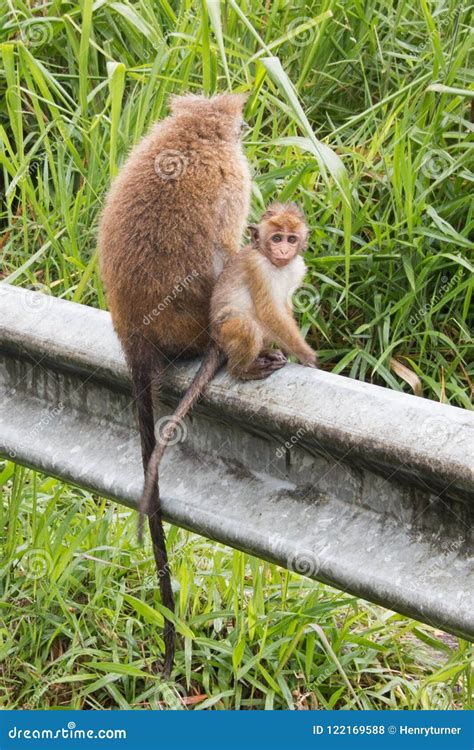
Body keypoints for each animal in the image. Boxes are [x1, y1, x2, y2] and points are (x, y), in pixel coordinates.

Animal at [142, 203, 318, 524]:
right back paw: (243, 369)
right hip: (227, 331)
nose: (284, 250)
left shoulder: (296, 267)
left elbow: (283, 307)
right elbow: (270, 311)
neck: (275, 264)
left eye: (291, 238)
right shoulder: (258, 268)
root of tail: (214, 338)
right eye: (276, 238)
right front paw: (309, 357)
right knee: (246, 322)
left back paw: (264, 354)